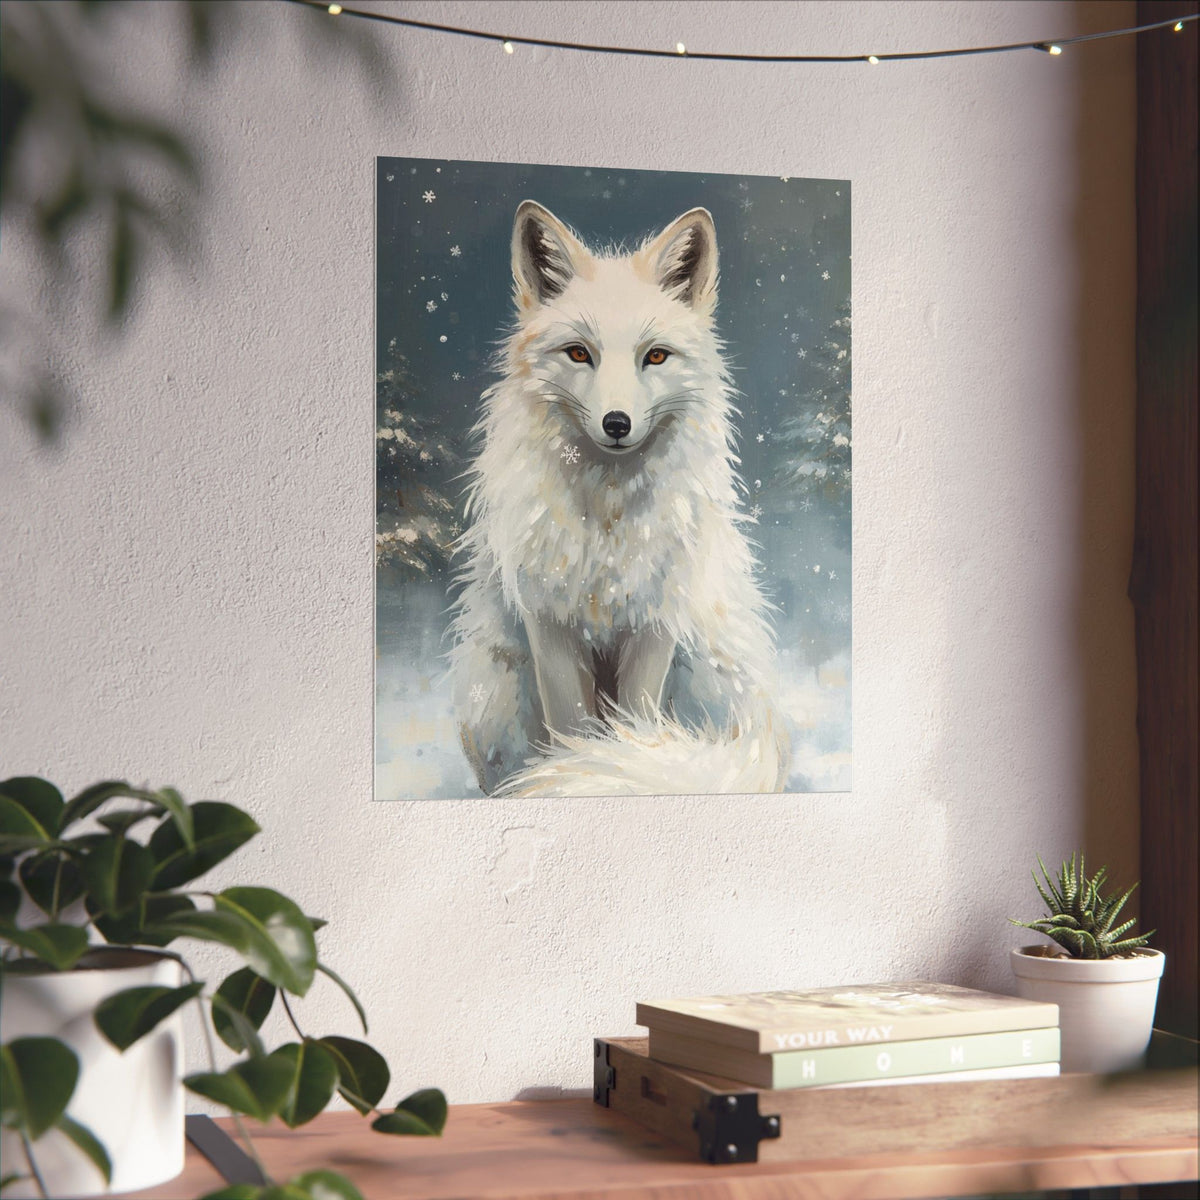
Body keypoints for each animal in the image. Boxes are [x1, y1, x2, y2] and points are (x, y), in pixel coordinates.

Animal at [448, 200, 790, 797]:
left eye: (655, 356)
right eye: (578, 353)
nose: (616, 423)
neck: (607, 523)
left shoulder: (655, 621)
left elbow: (634, 725)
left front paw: (606, 765)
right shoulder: (549, 621)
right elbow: (571, 728)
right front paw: (570, 772)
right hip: (495, 691)